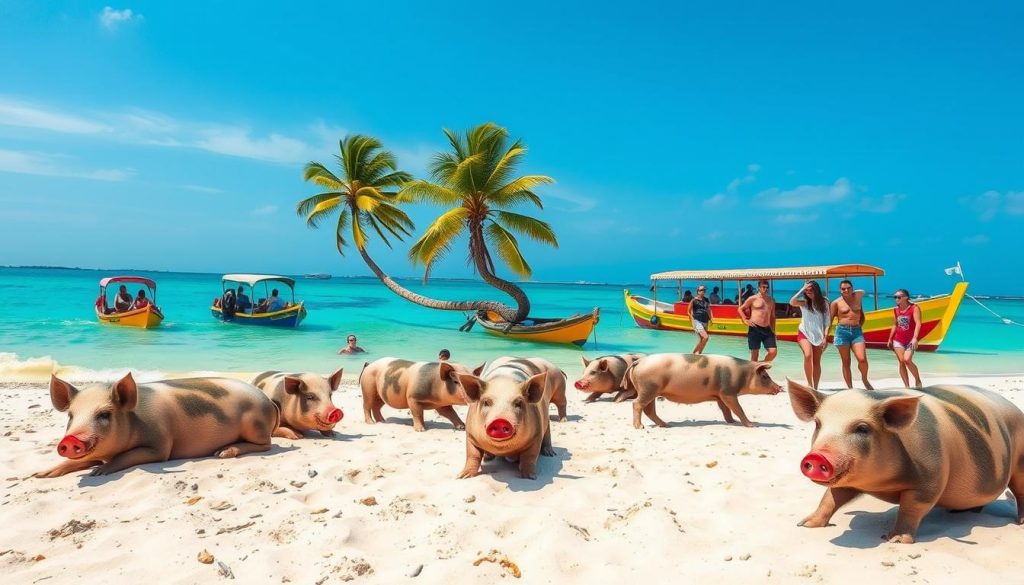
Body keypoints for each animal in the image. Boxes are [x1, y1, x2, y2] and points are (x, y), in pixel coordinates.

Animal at [35, 373, 278, 478]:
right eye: (70, 416)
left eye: (104, 414)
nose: (70, 440)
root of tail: (268, 401)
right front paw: (39, 475)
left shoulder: (159, 446)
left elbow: (127, 457)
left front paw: (98, 472)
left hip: (254, 424)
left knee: (266, 445)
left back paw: (222, 453)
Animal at [625, 353, 781, 429]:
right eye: (765, 376)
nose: (779, 387)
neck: (742, 374)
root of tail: (638, 361)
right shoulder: (728, 392)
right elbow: (738, 408)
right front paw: (753, 425)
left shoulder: (720, 395)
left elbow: (726, 409)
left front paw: (732, 422)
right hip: (648, 388)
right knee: (636, 404)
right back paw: (640, 427)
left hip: (651, 390)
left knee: (649, 410)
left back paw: (666, 425)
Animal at [787, 379, 1024, 543]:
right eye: (818, 424)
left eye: (862, 428)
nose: (817, 456)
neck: (882, 485)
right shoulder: (846, 480)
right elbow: (831, 497)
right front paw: (804, 524)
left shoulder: (930, 478)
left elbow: (912, 507)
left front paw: (895, 539)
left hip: (1020, 460)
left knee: (1020, 491)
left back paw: (1020, 523)